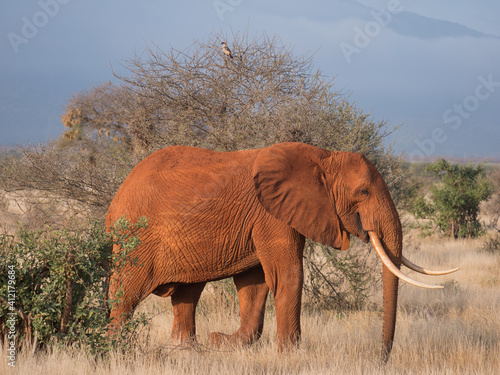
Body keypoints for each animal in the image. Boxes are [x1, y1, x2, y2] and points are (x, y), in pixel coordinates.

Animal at [105, 142, 458, 362]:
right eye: (363, 192)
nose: (380, 359)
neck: (322, 157)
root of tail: (118, 193)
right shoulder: (271, 214)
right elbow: (287, 276)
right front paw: (290, 356)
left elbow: (255, 284)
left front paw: (223, 342)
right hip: (134, 239)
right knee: (125, 294)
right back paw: (116, 351)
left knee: (187, 294)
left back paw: (186, 352)